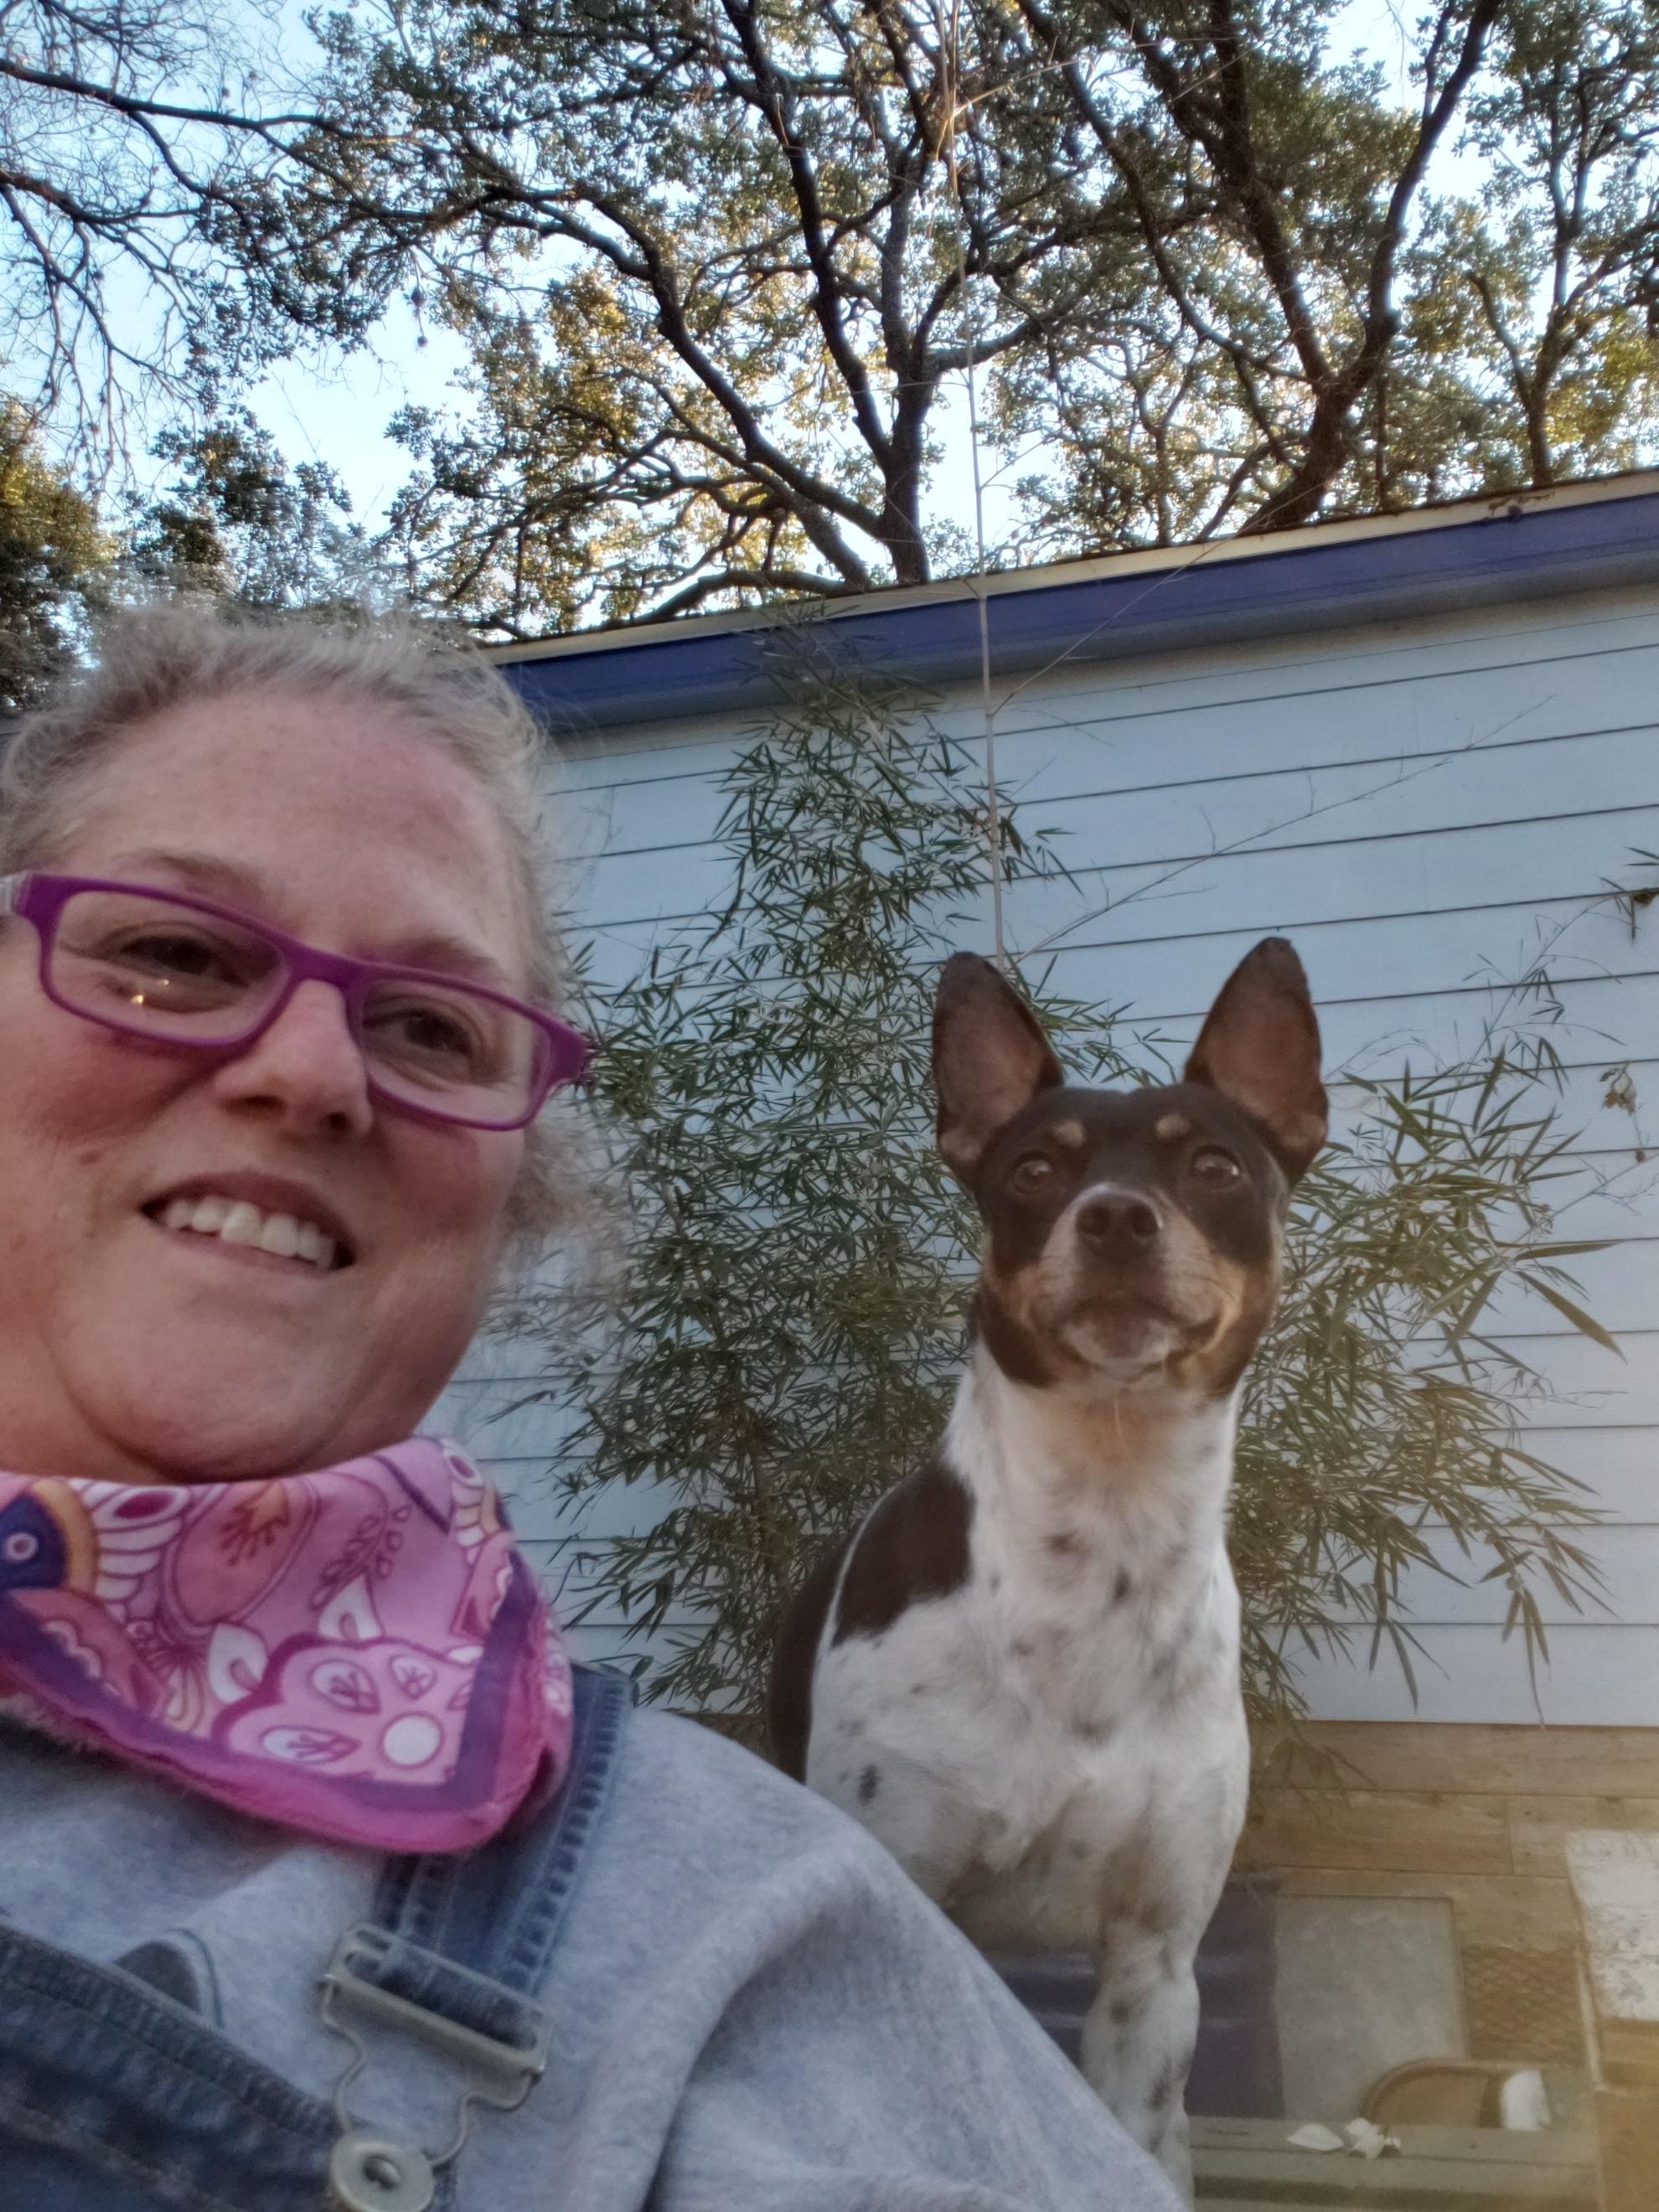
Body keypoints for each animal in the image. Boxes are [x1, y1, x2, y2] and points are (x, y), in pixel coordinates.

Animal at [768, 938, 1326, 2194]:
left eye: (1215, 1164)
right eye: (1031, 1171)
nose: (1116, 1218)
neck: (1103, 1537)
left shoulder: (1153, 1966)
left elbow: (1130, 2135)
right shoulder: (902, 1904)